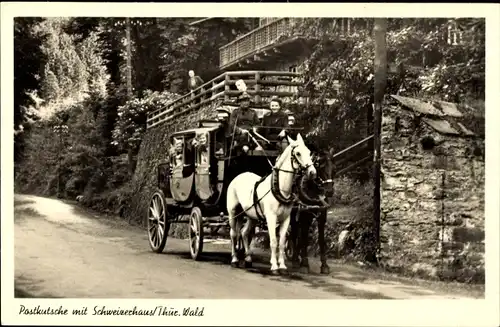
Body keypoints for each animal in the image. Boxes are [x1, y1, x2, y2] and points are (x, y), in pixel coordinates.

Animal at [227, 133, 316, 274]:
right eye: (298, 153)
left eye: (308, 151)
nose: (313, 173)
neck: (279, 189)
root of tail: (239, 176)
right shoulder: (271, 218)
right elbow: (274, 241)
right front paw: (274, 266)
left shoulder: (286, 219)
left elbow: (282, 242)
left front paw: (283, 266)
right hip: (233, 212)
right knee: (234, 234)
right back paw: (235, 259)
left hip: (250, 215)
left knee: (244, 233)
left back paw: (248, 259)